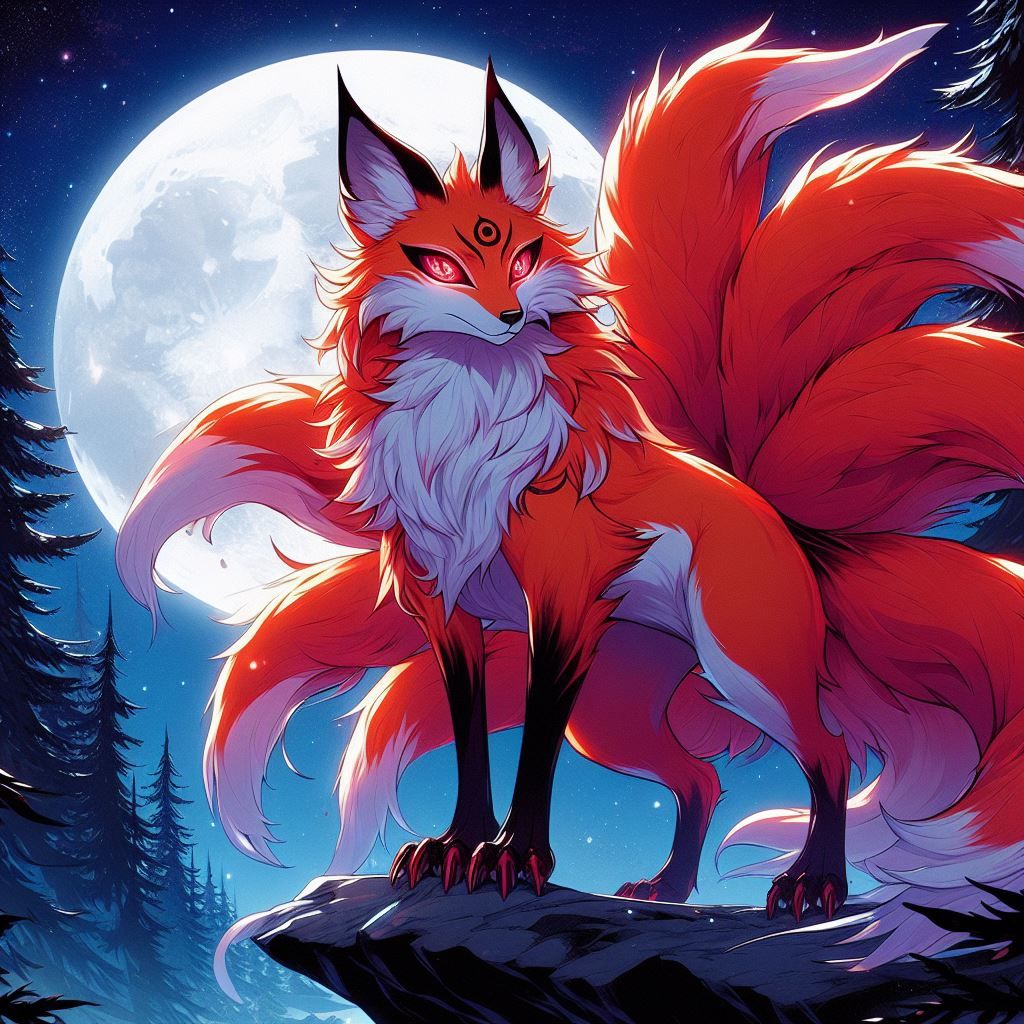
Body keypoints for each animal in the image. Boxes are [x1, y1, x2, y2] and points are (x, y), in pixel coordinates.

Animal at [119, 22, 1024, 967]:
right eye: (440, 264)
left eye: (522, 256)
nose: (512, 316)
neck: (468, 432)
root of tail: (775, 515)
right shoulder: (450, 609)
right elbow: (472, 738)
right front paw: (457, 848)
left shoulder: (561, 598)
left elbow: (534, 747)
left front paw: (514, 857)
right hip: (623, 715)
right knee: (699, 777)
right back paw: (668, 888)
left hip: (745, 669)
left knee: (833, 751)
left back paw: (814, 886)